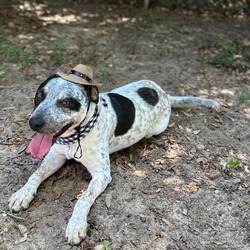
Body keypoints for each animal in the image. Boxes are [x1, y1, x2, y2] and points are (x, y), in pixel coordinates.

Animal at [8, 64, 219, 244]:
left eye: (66, 101)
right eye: (39, 95)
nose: (34, 122)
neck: (76, 135)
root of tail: (163, 93)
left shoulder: (101, 176)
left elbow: (83, 198)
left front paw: (76, 225)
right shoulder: (55, 156)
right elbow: (36, 174)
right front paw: (22, 194)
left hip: (158, 127)